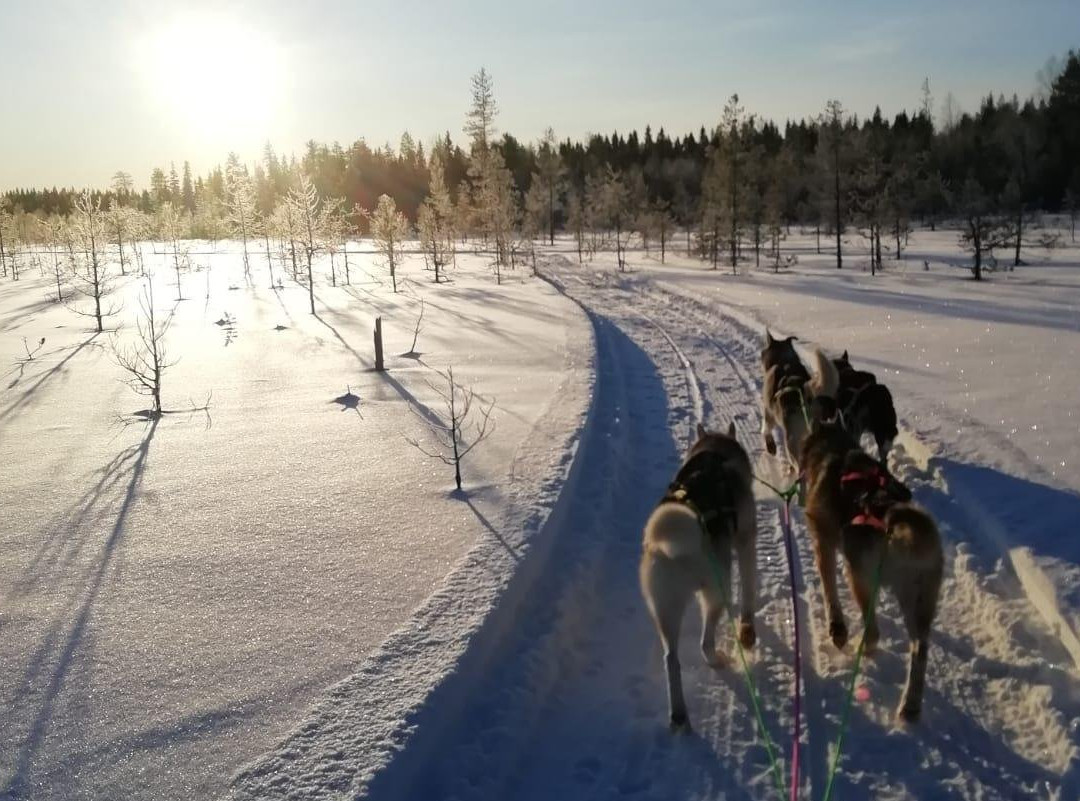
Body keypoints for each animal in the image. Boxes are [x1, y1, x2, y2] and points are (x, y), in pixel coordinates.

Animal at [639, 427, 760, 734]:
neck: (714, 453)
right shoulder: (746, 541)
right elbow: (749, 590)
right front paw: (748, 628)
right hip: (718, 587)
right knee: (705, 643)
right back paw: (717, 659)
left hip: (665, 609)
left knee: (671, 659)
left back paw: (679, 714)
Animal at [803, 421, 946, 721]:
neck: (834, 449)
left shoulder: (824, 542)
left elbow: (830, 591)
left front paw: (837, 629)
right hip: (918, 599)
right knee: (920, 648)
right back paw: (910, 705)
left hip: (860, 577)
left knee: (873, 633)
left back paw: (860, 648)